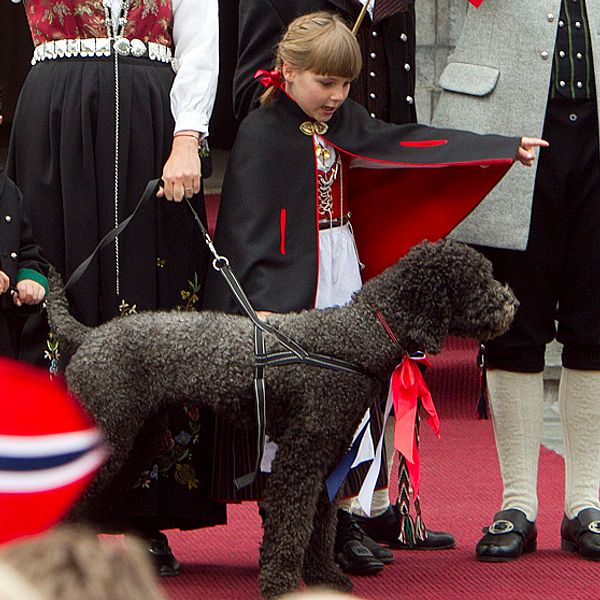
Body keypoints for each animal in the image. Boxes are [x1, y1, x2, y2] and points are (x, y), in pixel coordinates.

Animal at [47, 238, 516, 596]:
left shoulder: (328, 456)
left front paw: (325, 576)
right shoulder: (301, 456)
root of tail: (92, 334)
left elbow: (321, 524)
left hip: (138, 440)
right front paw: (281, 582)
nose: (511, 302)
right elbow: (292, 522)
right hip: (109, 433)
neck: (355, 335)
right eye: (479, 280)